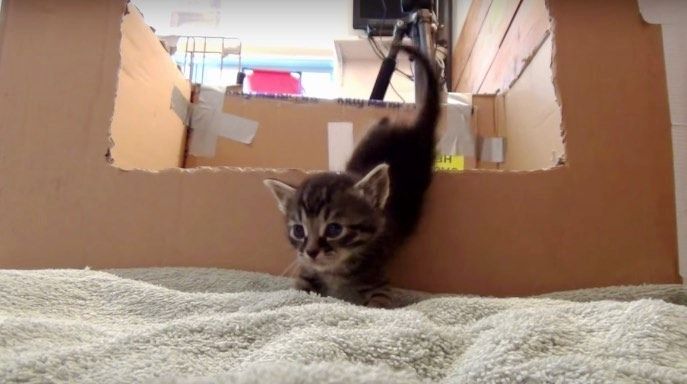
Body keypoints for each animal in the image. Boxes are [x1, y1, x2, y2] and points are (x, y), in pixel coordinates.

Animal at [264, 45, 440, 308]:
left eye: (334, 229)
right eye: (298, 231)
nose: (311, 251)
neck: (334, 271)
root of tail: (414, 129)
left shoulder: (377, 279)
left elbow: (378, 304)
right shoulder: (306, 272)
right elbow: (298, 290)